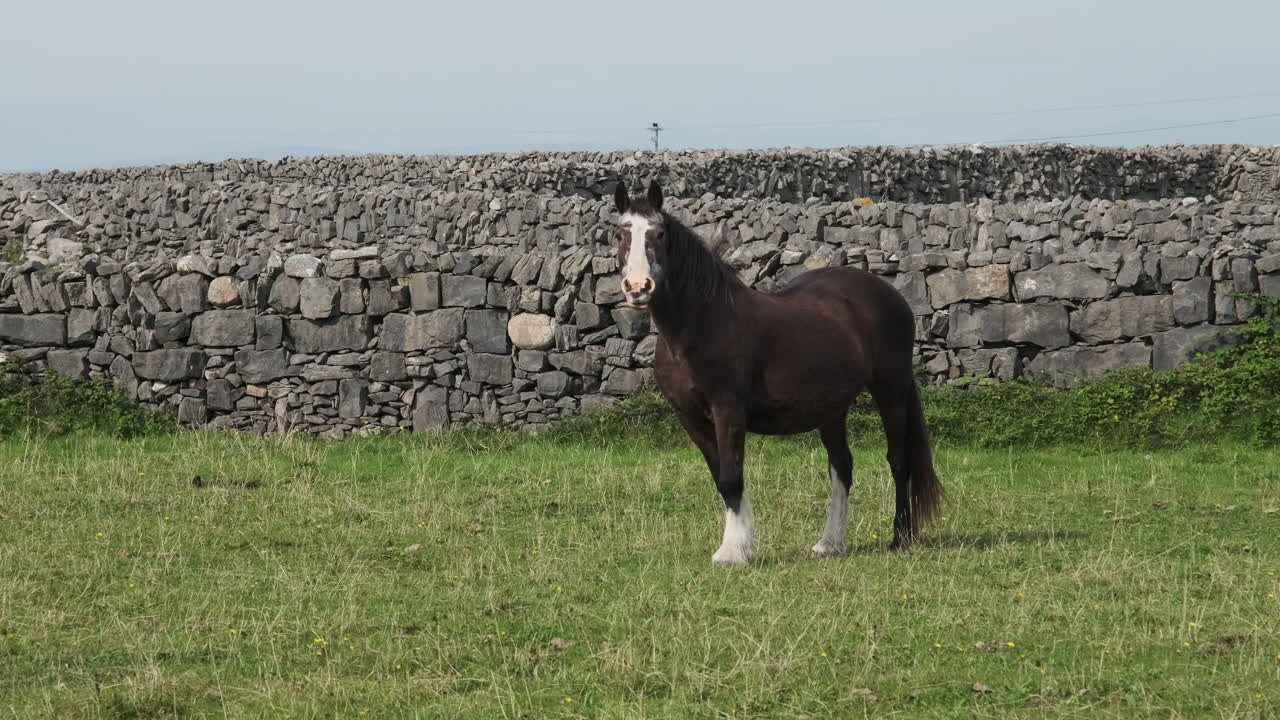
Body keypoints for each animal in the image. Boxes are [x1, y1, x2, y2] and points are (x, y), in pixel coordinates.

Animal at [612, 180, 943, 566]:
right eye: (620, 233)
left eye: (659, 233)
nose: (638, 288)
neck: (699, 326)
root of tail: (891, 294)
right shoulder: (689, 417)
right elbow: (721, 477)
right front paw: (743, 545)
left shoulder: (728, 409)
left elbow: (731, 478)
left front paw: (732, 552)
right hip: (831, 408)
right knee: (842, 467)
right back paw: (830, 543)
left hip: (890, 389)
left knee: (898, 460)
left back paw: (900, 537)